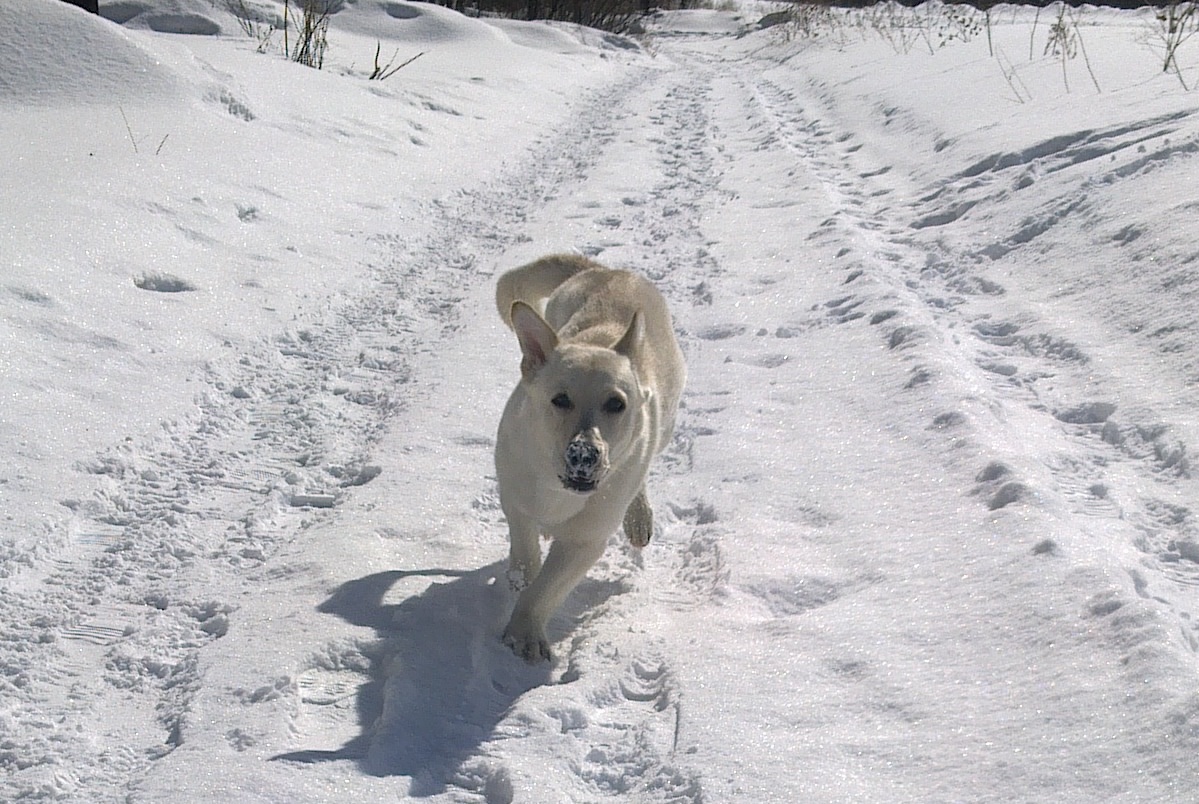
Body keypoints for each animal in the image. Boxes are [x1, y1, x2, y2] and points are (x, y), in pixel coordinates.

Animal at [494, 254, 686, 662]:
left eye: (616, 403)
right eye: (560, 399)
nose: (584, 454)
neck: (558, 490)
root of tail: (607, 270)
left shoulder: (586, 541)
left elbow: (544, 591)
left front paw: (523, 634)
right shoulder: (514, 493)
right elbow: (524, 547)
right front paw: (521, 577)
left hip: (661, 427)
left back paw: (638, 516)